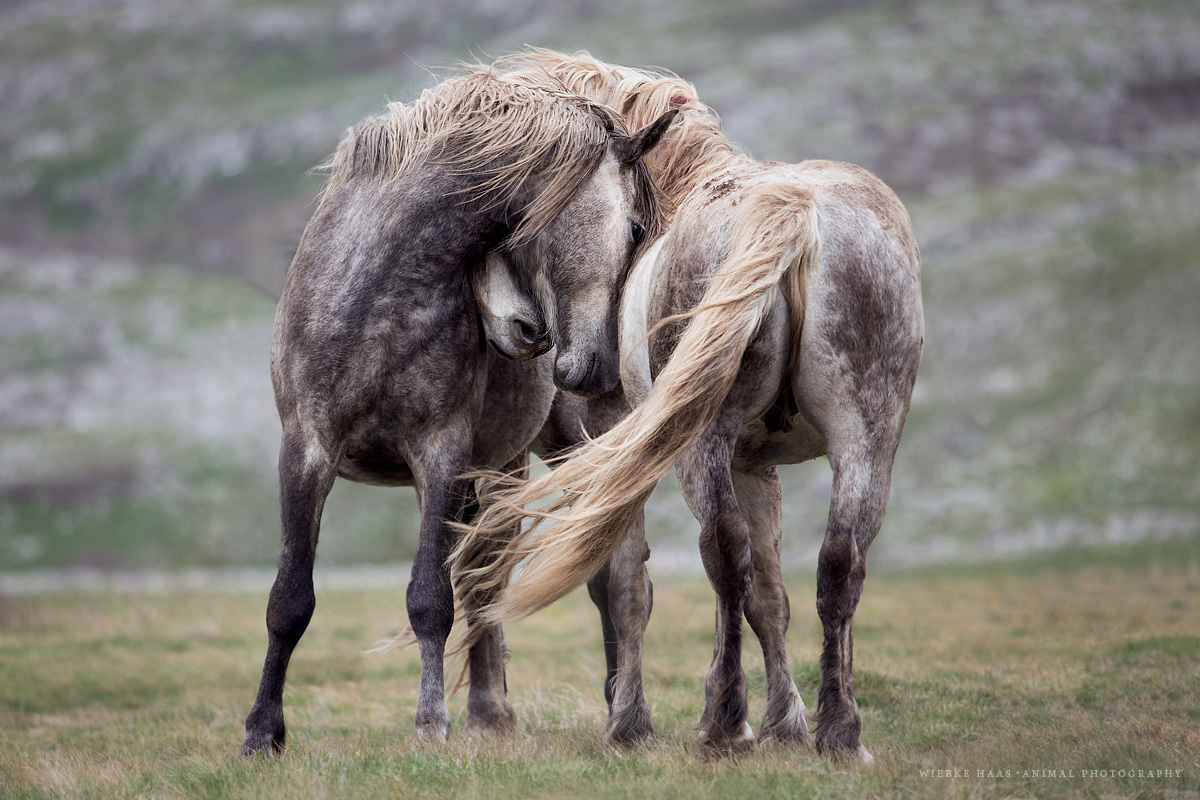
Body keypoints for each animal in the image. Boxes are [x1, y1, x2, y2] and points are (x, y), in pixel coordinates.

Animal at [240, 66, 675, 755]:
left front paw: (429, 723)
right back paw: (491, 711)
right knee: (485, 575)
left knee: (607, 576)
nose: (600, 367)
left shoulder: (439, 453)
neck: (379, 299)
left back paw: (621, 712)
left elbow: (428, 599)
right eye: (633, 228)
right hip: (495, 471)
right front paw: (262, 731)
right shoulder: (307, 449)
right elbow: (289, 600)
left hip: (564, 448)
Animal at [453, 50, 924, 762]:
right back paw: (839, 732)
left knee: (723, 555)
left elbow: (629, 585)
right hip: (865, 440)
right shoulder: (756, 463)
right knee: (839, 563)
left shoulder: (628, 442)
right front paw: (788, 723)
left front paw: (630, 723)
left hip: (700, 445)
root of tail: (792, 209)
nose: (575, 366)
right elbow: (770, 596)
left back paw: (723, 723)